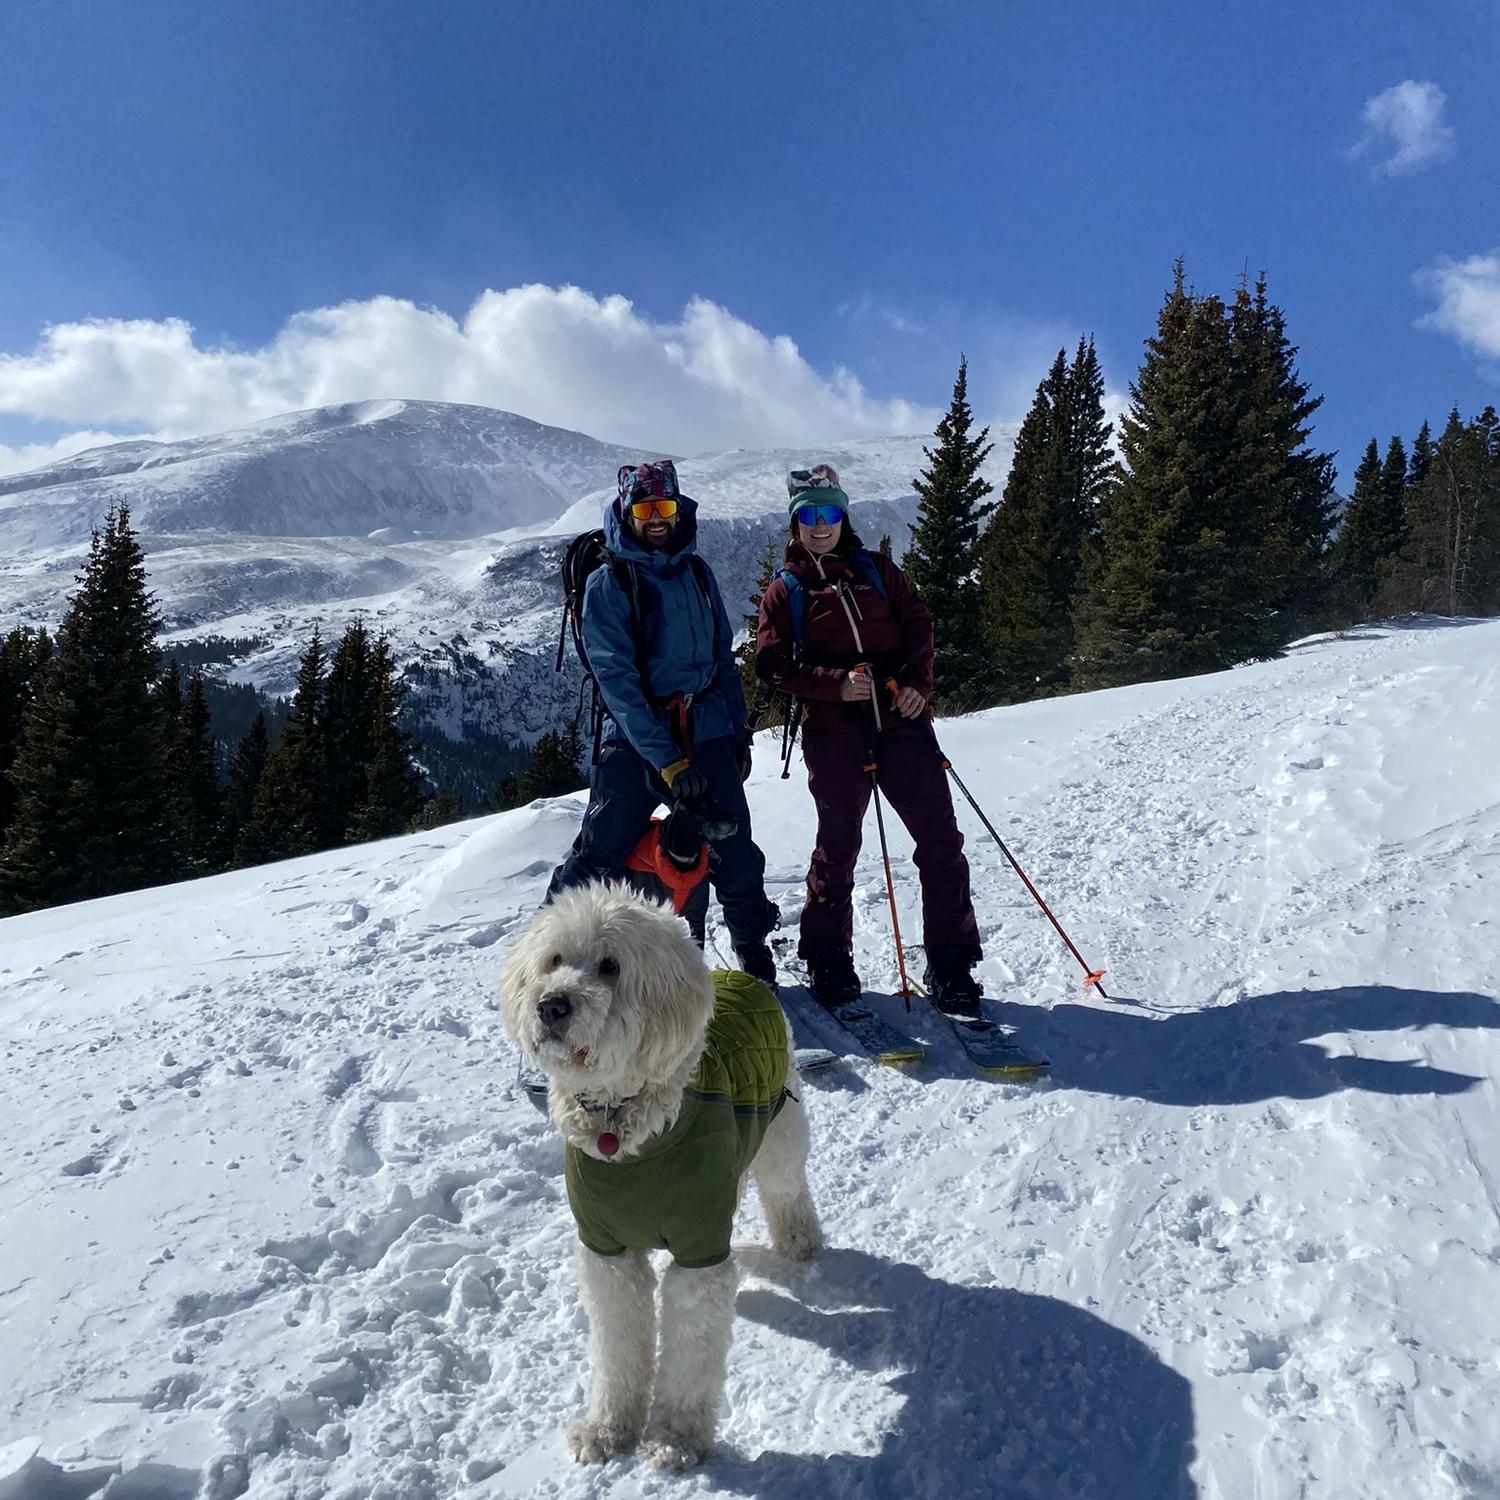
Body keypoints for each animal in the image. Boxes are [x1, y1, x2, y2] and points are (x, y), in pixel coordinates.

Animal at [498, 883, 822, 1471]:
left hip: (781, 1129)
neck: (624, 1130)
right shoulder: (608, 1251)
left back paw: (800, 1241)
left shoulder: (699, 1249)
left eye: (610, 966)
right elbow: (619, 1348)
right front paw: (607, 1429)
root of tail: (741, 977)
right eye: (553, 960)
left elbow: (690, 1354)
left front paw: (676, 1438)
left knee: (787, 1188)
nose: (551, 1005)